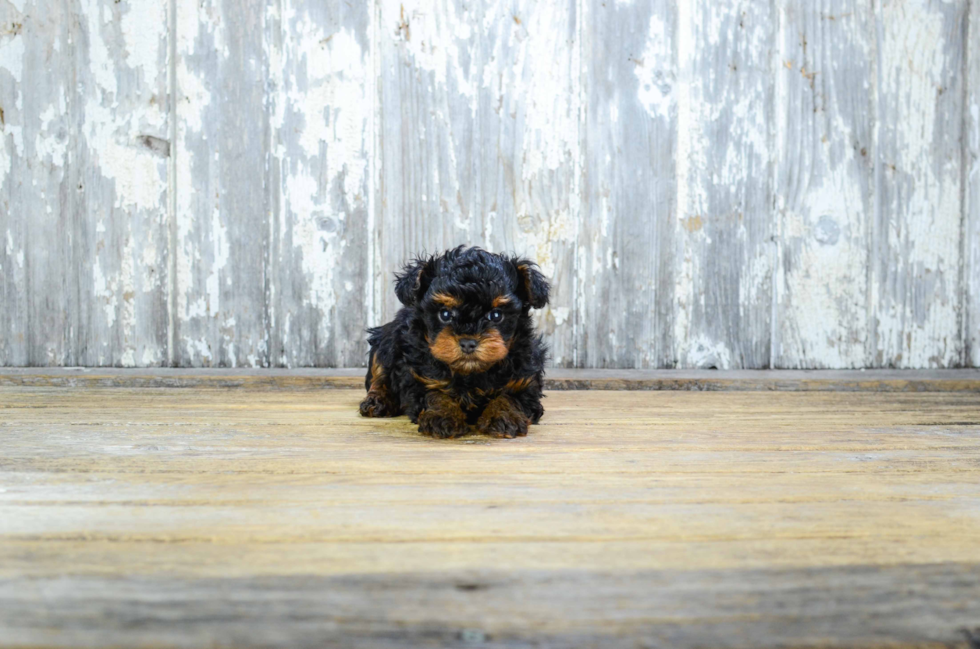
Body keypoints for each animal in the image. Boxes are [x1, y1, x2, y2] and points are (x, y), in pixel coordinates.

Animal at [358, 246, 548, 438]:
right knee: (379, 373)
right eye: (445, 314)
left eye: (496, 315)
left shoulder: (525, 380)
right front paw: (443, 416)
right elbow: (434, 394)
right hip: (387, 340)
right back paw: (378, 400)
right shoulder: (417, 378)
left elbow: (511, 397)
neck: (470, 373)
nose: (468, 342)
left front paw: (504, 416)